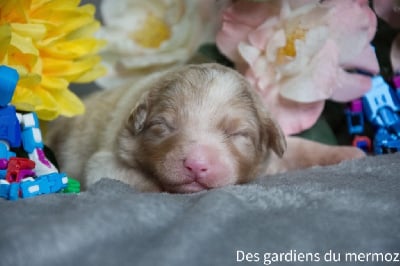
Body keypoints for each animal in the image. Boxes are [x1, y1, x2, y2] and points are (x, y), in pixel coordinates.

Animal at [45, 64, 364, 193]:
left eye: (238, 134)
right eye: (162, 126)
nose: (196, 165)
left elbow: (300, 148)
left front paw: (348, 154)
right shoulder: (105, 160)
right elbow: (135, 179)